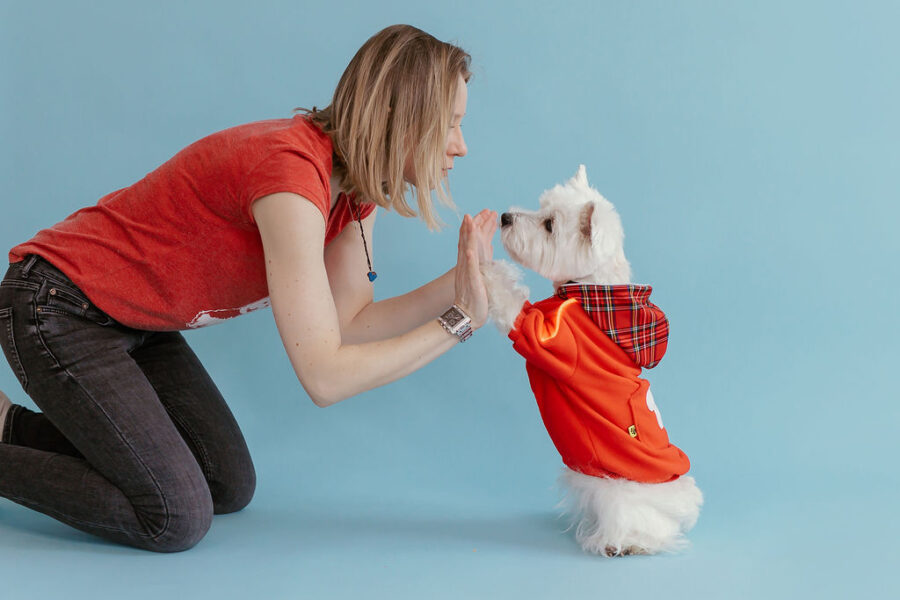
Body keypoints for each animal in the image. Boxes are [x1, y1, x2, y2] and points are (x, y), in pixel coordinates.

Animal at [486, 165, 704, 556]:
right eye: (540, 208)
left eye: (549, 225)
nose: (505, 217)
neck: (590, 293)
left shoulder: (554, 340)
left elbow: (517, 312)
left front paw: (485, 269)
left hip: (624, 487)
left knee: (647, 524)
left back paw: (628, 543)